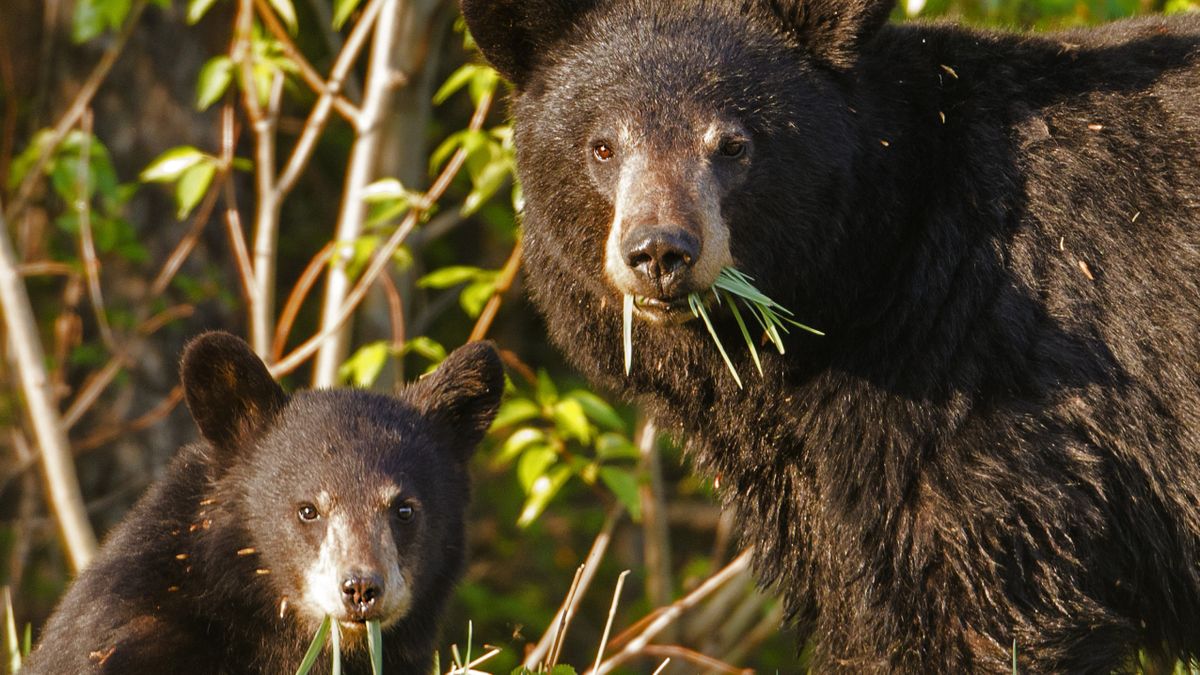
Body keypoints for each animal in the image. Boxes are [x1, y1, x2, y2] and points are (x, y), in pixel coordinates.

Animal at [463, 0, 1200, 667]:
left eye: (732, 144)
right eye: (603, 145)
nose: (660, 251)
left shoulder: (983, 394)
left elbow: (978, 606)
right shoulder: (818, 492)